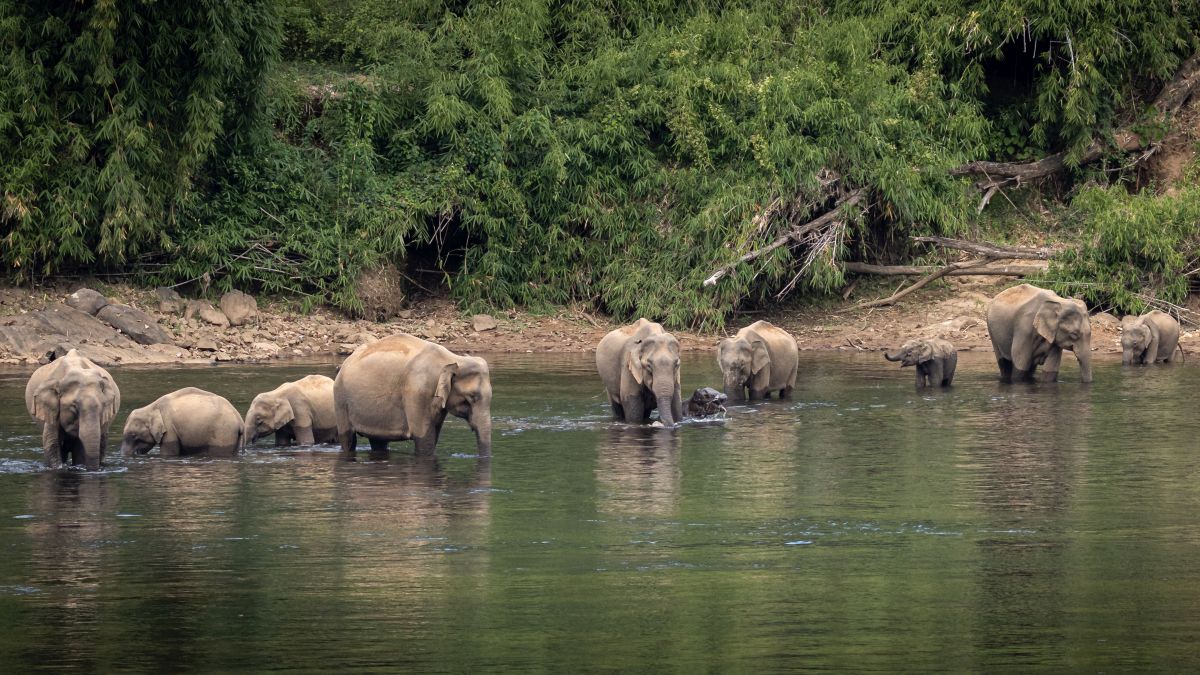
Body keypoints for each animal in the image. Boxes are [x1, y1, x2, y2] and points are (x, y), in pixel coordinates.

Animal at [333, 331, 492, 454]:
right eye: (472, 397)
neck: (452, 359)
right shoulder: (417, 391)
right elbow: (424, 437)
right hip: (340, 399)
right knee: (348, 438)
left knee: (378, 441)